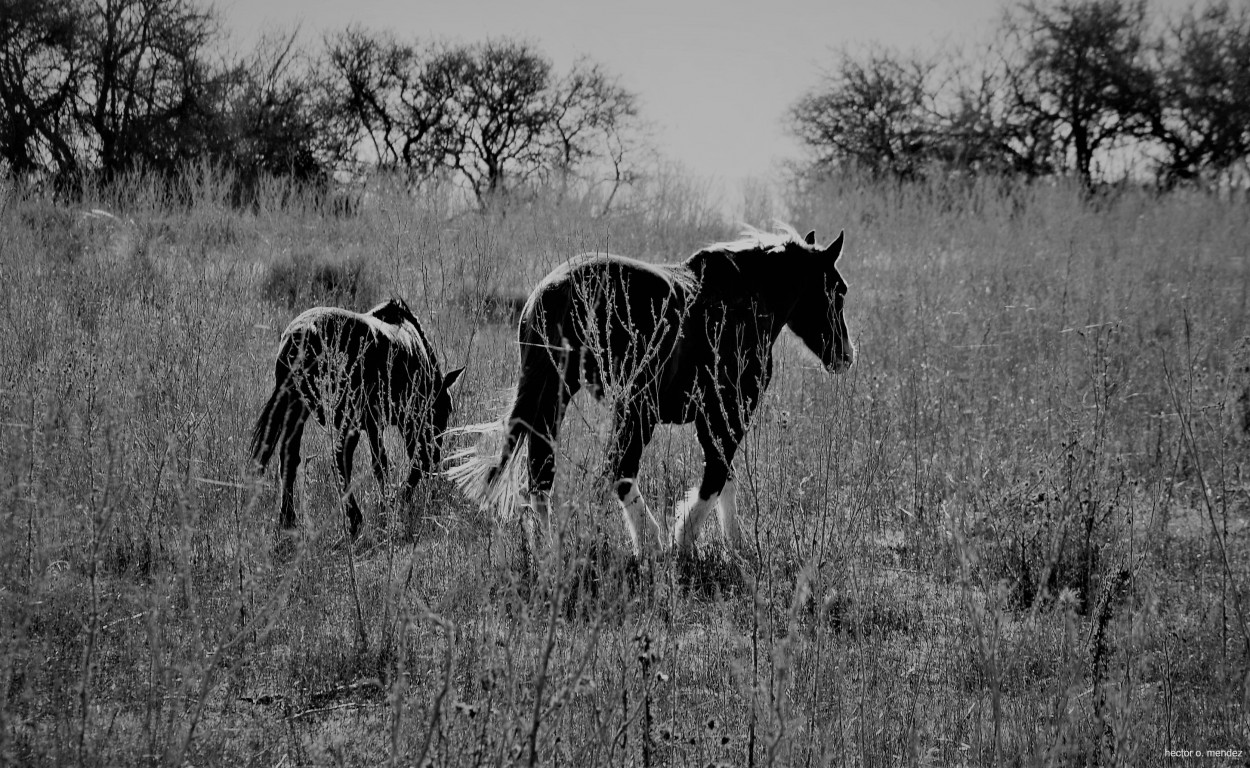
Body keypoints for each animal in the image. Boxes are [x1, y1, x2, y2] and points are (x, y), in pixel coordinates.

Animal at [251, 297, 467, 537]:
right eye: (445, 409)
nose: (434, 458)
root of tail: (301, 333)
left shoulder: (374, 425)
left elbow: (383, 463)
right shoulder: (377, 421)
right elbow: (383, 464)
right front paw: (392, 503)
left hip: (297, 406)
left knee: (289, 456)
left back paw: (288, 518)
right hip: (345, 415)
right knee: (340, 458)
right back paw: (354, 518)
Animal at [450, 225, 850, 557]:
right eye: (838, 291)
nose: (845, 355)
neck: (745, 300)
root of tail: (554, 289)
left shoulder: (713, 419)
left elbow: (725, 476)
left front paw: (732, 542)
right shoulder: (726, 414)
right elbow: (717, 474)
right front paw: (686, 539)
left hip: (554, 399)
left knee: (541, 474)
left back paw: (551, 551)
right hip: (631, 410)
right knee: (618, 469)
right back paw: (649, 542)